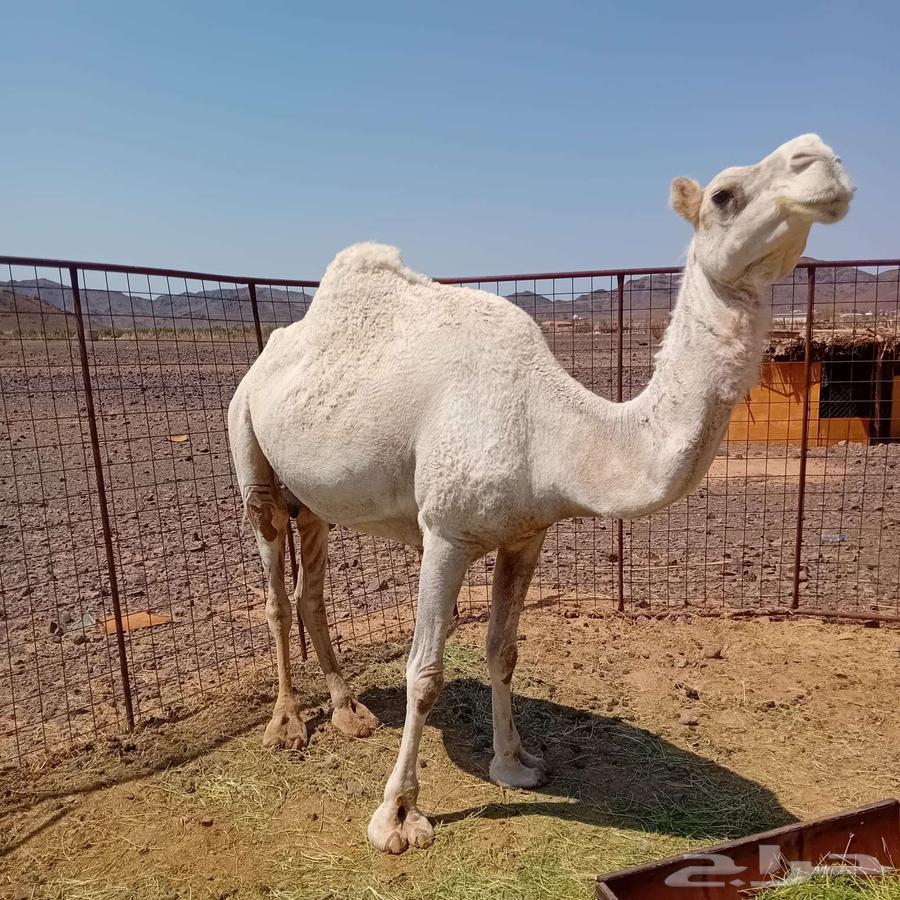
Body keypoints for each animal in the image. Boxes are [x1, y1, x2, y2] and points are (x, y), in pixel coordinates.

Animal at [227, 134, 853, 854]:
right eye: (724, 195)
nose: (820, 158)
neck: (549, 428)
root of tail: (266, 354)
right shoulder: (445, 532)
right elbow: (424, 673)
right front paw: (398, 817)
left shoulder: (527, 535)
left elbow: (504, 650)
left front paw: (515, 764)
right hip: (249, 446)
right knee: (275, 592)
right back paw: (285, 726)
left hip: (315, 498)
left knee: (311, 586)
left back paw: (349, 712)